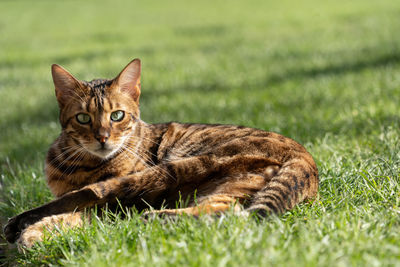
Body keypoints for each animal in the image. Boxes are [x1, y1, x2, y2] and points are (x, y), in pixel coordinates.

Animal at [3, 59, 318, 249]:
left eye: (117, 115)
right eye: (83, 118)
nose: (102, 138)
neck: (80, 163)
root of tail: (305, 156)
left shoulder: (110, 202)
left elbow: (75, 209)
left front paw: (32, 233)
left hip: (173, 169)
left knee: (92, 192)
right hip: (230, 185)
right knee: (225, 212)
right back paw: (159, 218)